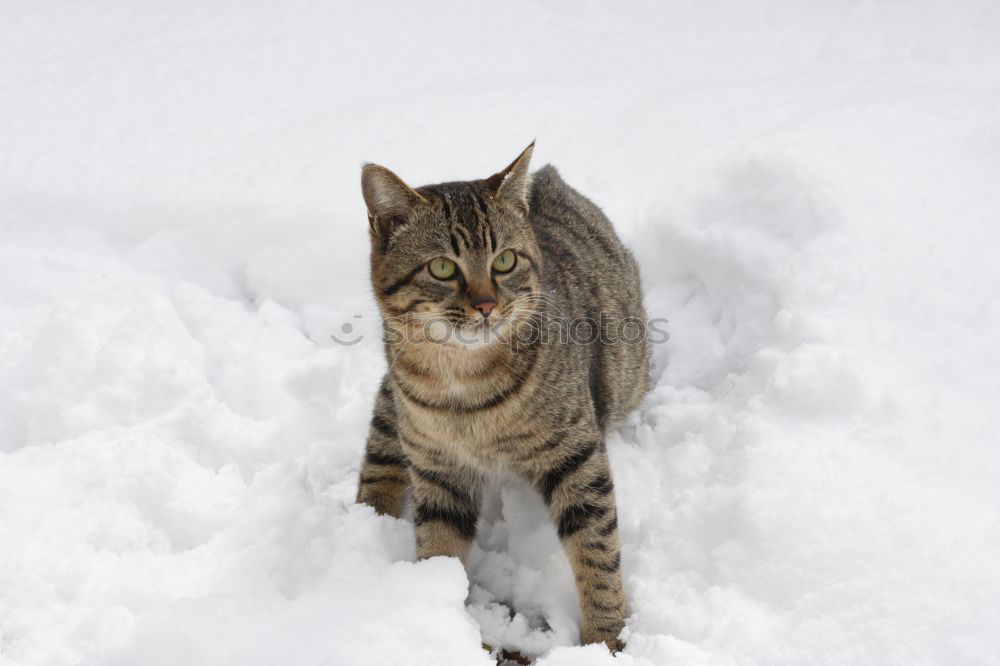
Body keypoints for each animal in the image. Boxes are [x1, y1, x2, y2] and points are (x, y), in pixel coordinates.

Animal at [356, 145, 652, 648]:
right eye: (442, 267)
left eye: (505, 261)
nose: (486, 305)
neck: (462, 382)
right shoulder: (438, 470)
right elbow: (439, 550)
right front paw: (440, 623)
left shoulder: (577, 455)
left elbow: (596, 547)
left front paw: (605, 638)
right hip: (392, 407)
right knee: (378, 460)